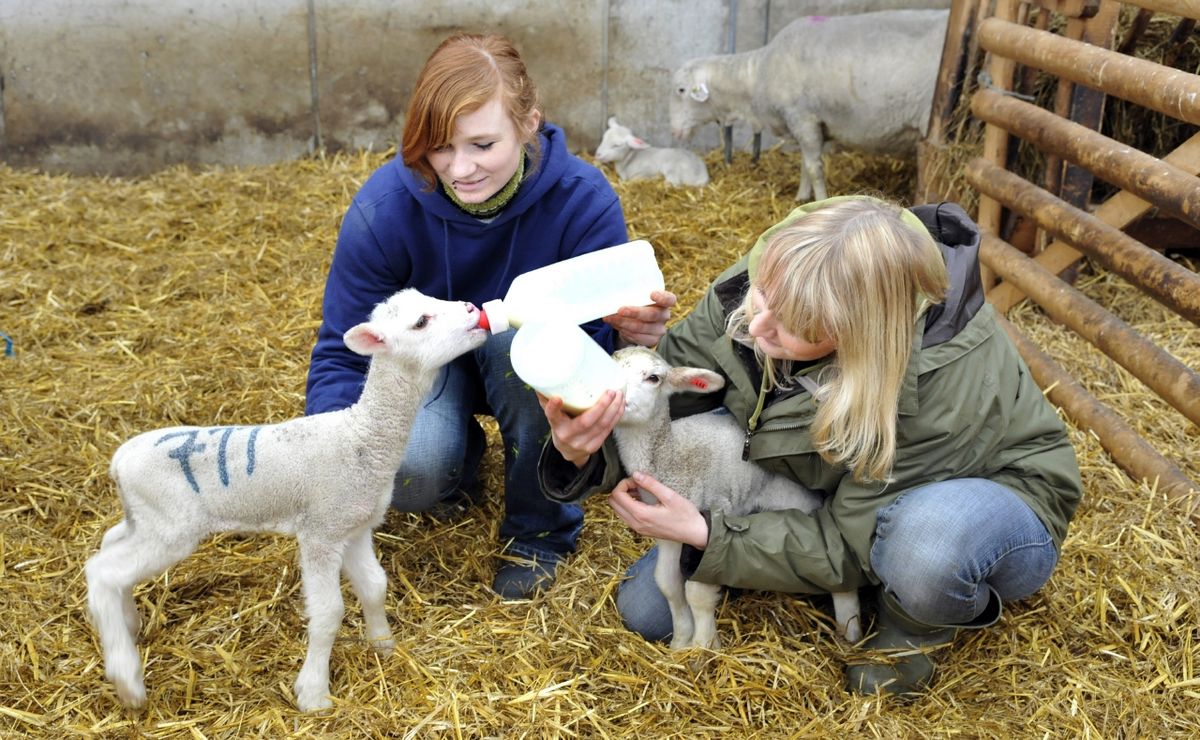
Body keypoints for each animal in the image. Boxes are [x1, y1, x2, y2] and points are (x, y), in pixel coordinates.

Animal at [84, 289, 489, 710]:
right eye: (421, 322)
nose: (473, 309)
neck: (359, 437)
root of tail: (120, 460)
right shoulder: (321, 532)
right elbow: (329, 612)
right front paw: (314, 693)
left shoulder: (354, 525)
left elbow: (376, 586)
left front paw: (383, 644)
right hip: (171, 526)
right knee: (102, 571)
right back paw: (127, 677)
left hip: (147, 517)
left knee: (110, 544)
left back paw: (127, 622)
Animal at [609, 345, 864, 647]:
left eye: (653, 378)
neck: (671, 454)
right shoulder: (667, 528)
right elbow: (667, 584)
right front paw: (681, 642)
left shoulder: (714, 514)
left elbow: (697, 591)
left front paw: (703, 647)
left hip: (798, 501)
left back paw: (850, 633)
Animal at [667, 9, 945, 199]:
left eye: (681, 90)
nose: (675, 132)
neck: (756, 75)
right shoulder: (806, 124)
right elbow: (803, 163)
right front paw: (801, 197)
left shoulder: (802, 117)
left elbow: (814, 168)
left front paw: (819, 201)